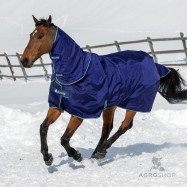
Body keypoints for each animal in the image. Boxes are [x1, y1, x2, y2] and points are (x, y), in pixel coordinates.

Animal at [20, 15, 187, 166]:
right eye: (30, 35)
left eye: (40, 36)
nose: (24, 60)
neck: (74, 71)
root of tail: (156, 66)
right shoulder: (57, 106)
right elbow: (43, 128)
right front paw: (47, 157)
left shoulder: (80, 112)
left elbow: (64, 138)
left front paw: (76, 155)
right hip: (111, 104)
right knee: (107, 128)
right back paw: (96, 153)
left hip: (135, 103)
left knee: (124, 126)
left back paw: (101, 151)